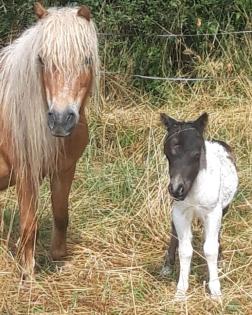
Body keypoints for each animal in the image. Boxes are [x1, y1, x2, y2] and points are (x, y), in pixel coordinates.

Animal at [0, 3, 99, 278]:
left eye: (86, 59)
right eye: (42, 59)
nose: (61, 120)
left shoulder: (64, 169)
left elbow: (61, 214)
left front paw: (58, 256)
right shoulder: (26, 174)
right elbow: (29, 223)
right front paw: (27, 271)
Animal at [160, 112, 237, 300]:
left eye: (196, 154)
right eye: (167, 153)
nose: (176, 189)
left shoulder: (213, 213)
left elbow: (210, 249)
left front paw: (216, 291)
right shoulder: (180, 212)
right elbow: (185, 250)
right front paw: (180, 291)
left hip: (223, 208)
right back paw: (167, 266)